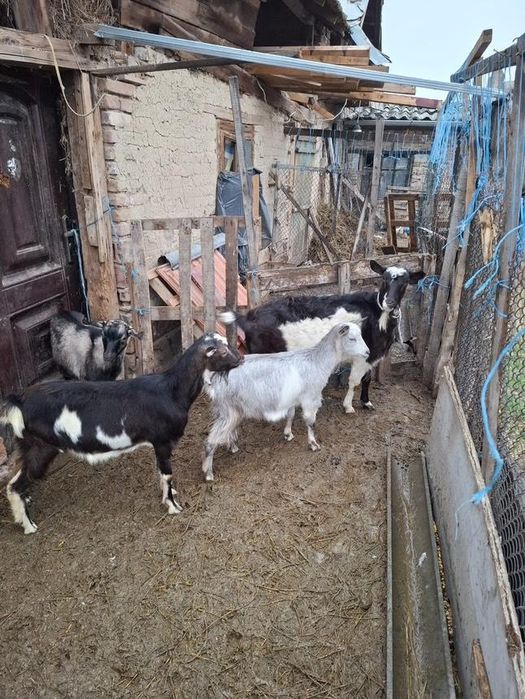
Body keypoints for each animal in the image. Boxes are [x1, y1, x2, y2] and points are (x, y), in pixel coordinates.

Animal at [1, 334, 242, 534]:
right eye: (222, 351)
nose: (240, 358)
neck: (171, 391)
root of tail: (19, 400)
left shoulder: (158, 444)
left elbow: (160, 473)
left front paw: (169, 497)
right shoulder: (163, 441)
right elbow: (167, 474)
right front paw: (174, 507)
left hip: (29, 446)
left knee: (14, 479)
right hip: (42, 448)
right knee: (14, 485)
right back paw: (29, 526)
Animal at [202, 322, 369, 482]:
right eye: (351, 338)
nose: (367, 352)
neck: (318, 362)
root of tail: (214, 378)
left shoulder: (293, 398)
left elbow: (290, 415)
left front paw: (288, 434)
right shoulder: (311, 398)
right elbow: (311, 423)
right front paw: (313, 444)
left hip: (231, 411)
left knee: (226, 432)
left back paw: (233, 447)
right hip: (228, 410)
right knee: (211, 441)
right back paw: (208, 473)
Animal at [220, 260, 425, 414]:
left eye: (405, 282)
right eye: (384, 279)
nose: (389, 302)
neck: (377, 314)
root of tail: (248, 316)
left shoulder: (371, 354)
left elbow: (366, 379)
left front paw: (366, 402)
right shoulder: (363, 356)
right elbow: (354, 381)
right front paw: (348, 406)